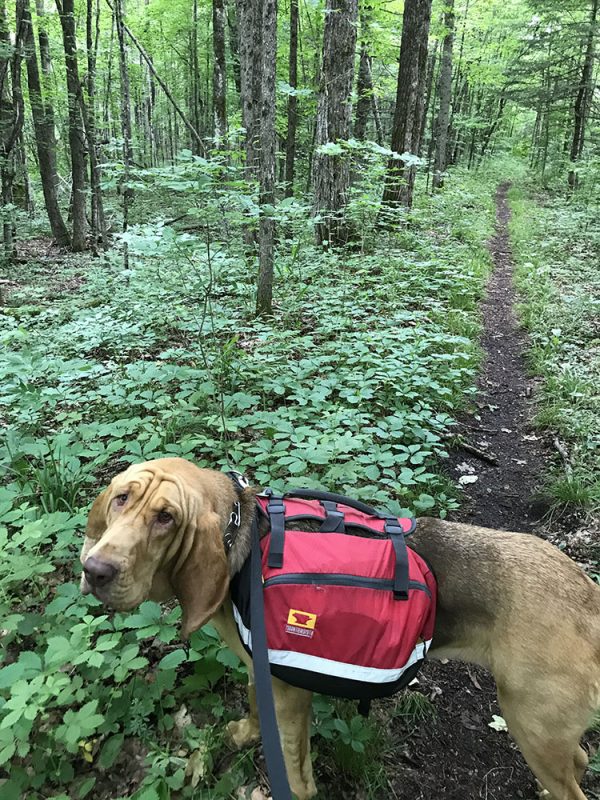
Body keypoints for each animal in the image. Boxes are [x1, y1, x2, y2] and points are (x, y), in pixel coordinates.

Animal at [79, 460, 600, 796]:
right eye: (121, 498)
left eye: (166, 518)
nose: (95, 570)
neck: (240, 537)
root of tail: (588, 597)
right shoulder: (262, 673)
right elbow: (252, 705)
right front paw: (245, 734)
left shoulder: (289, 696)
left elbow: (296, 775)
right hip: (544, 733)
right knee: (580, 760)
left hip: (530, 725)